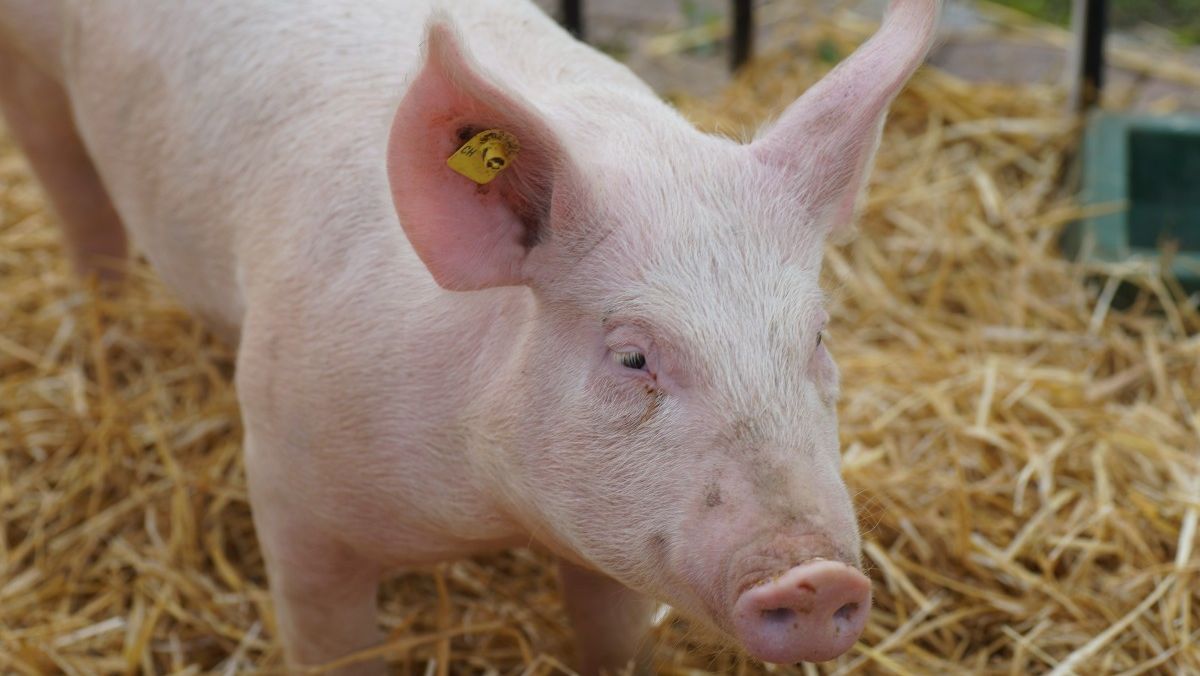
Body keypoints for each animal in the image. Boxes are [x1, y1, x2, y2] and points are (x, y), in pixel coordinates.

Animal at [0, 0, 940, 672]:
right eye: (632, 355)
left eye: (816, 338)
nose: (816, 576)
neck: (492, 508)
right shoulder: (290, 490)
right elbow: (332, 647)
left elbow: (612, 638)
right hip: (34, 68)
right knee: (77, 198)